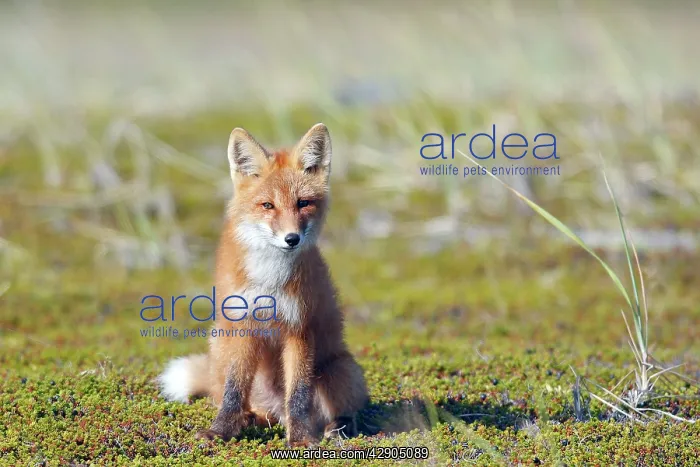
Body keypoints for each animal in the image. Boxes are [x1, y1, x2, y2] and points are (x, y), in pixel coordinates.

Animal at [157, 123, 369, 447]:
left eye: (303, 203)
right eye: (267, 205)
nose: (292, 239)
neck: (270, 282)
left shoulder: (299, 328)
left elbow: (298, 395)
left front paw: (300, 438)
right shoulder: (242, 323)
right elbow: (233, 392)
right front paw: (221, 431)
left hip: (341, 370)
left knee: (338, 410)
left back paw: (337, 427)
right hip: (220, 343)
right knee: (237, 399)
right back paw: (250, 419)